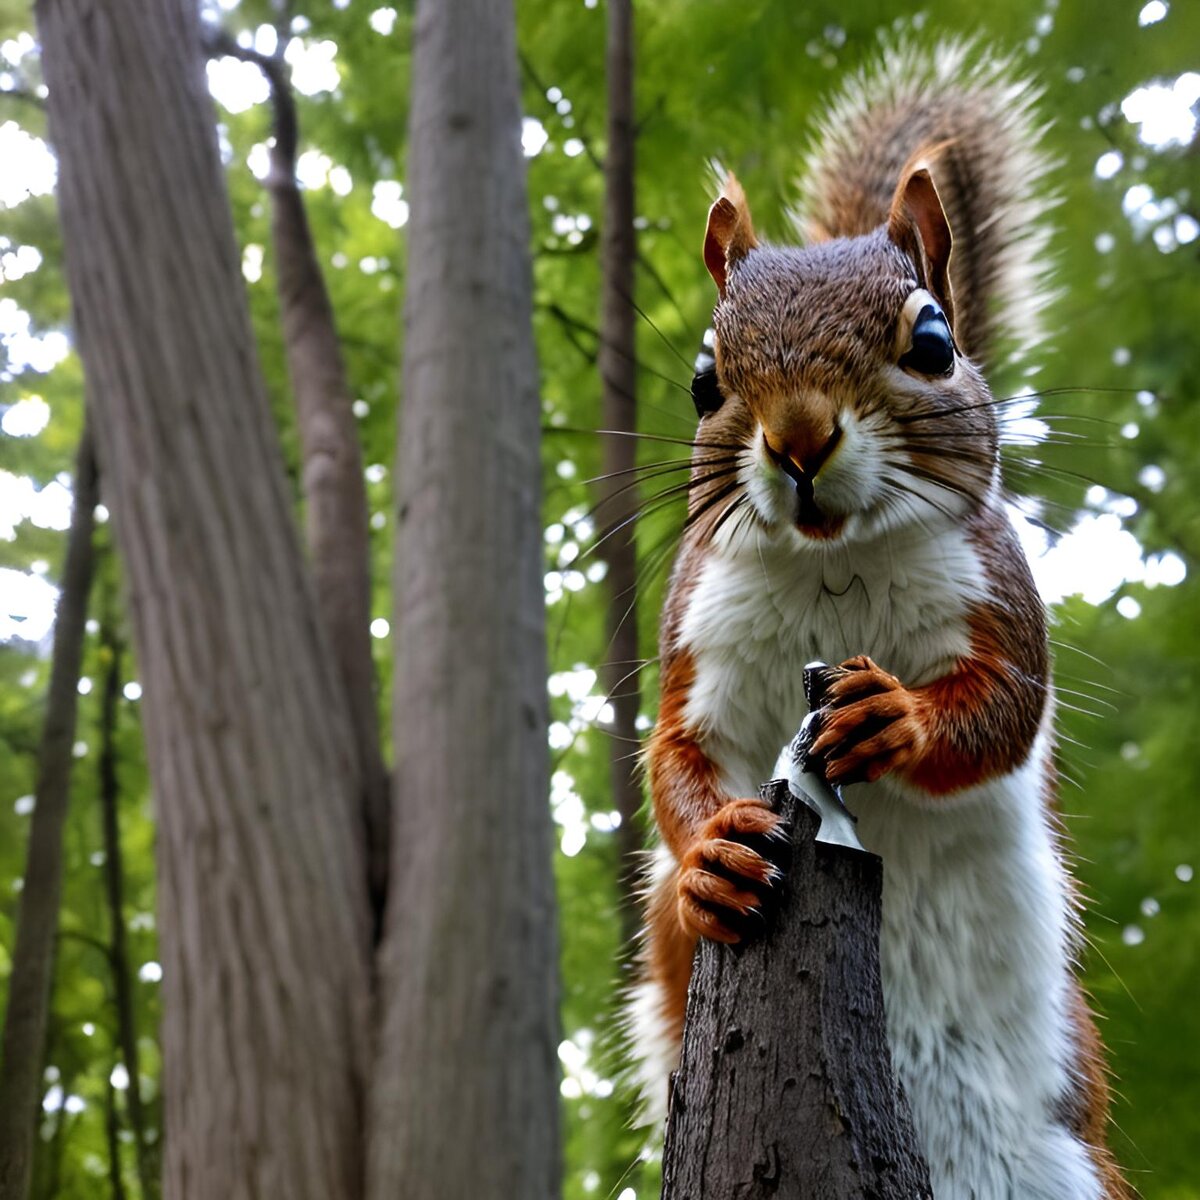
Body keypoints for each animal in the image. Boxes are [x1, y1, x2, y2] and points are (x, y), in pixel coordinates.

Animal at [628, 39, 1132, 1200]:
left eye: (935, 342)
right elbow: (675, 755)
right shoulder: (697, 639)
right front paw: (713, 850)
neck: (834, 568)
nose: (800, 439)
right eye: (703, 380)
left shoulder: (996, 591)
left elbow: (1003, 710)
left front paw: (894, 720)